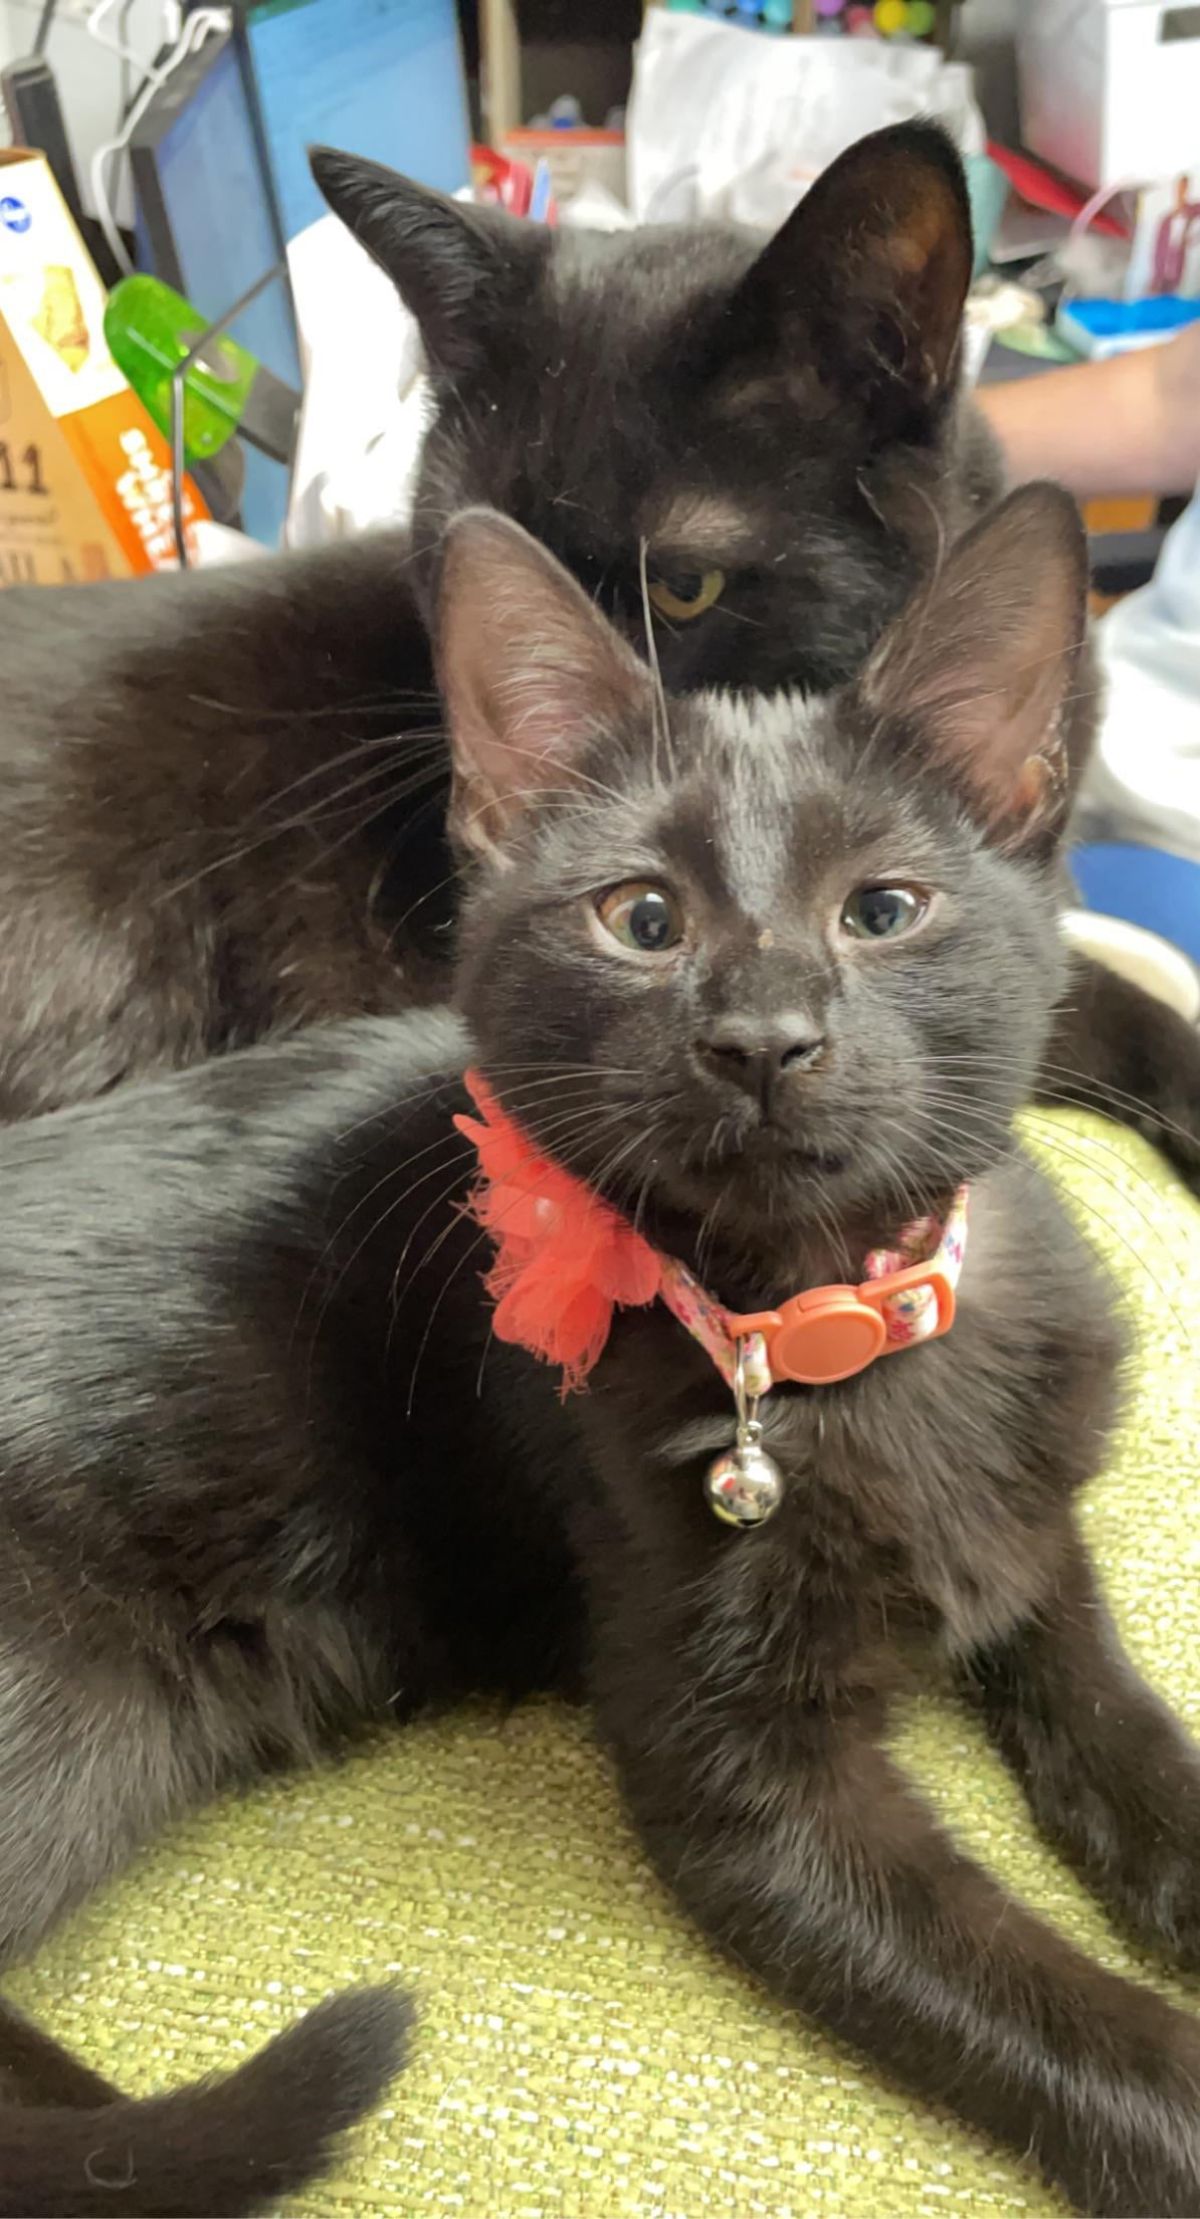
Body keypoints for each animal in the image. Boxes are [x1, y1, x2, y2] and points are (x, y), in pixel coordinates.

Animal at [2, 494, 1197, 2210]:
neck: (832, 1331)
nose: (763, 1035)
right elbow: (1037, 2006)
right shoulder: (751, 1792)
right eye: (641, 919)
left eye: (882, 909)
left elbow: (1108, 1697)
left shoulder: (1026, 1525)